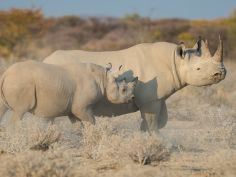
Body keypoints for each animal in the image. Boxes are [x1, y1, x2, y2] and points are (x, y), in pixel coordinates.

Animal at [0, 60, 137, 124]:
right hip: (20, 84)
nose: (132, 97)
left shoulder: (72, 109)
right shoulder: (81, 107)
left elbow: (78, 127)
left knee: (3, 109)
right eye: (123, 89)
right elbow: (91, 122)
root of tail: (6, 73)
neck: (104, 78)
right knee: (20, 111)